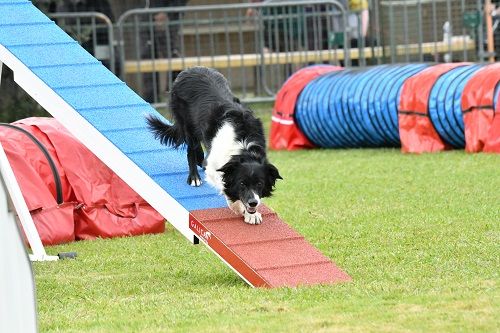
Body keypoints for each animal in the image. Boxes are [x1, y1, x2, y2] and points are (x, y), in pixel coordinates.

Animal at [146, 65, 284, 223]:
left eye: (260, 184)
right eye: (242, 183)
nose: (253, 203)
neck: (243, 146)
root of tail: (189, 69)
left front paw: (252, 214)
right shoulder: (216, 166)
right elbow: (224, 185)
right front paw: (239, 207)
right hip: (188, 124)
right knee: (191, 150)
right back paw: (194, 177)